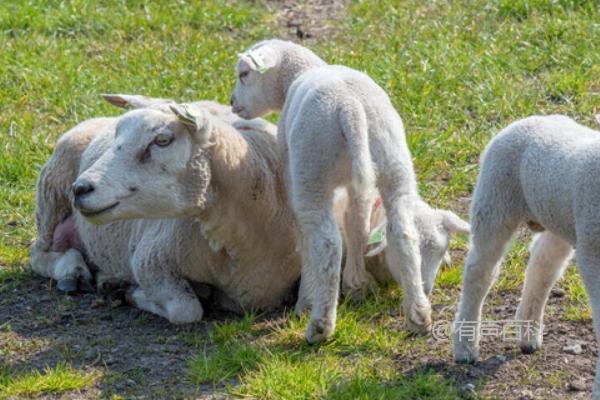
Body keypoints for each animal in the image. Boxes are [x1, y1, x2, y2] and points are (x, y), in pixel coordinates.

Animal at [230, 39, 468, 342]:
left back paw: (319, 324)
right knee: (402, 230)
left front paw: (307, 298)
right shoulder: (358, 186)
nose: (232, 103)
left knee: (327, 243)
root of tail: (349, 106)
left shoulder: (291, 171)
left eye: (244, 74)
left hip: (313, 169)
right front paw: (358, 284)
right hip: (391, 159)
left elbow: (306, 237)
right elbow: (357, 224)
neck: (298, 76)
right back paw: (418, 315)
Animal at [452, 115, 600, 396]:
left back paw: (528, 335)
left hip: (557, 217)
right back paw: (465, 346)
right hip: (494, 201)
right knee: (480, 272)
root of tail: (530, 119)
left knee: (542, 263)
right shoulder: (592, 249)